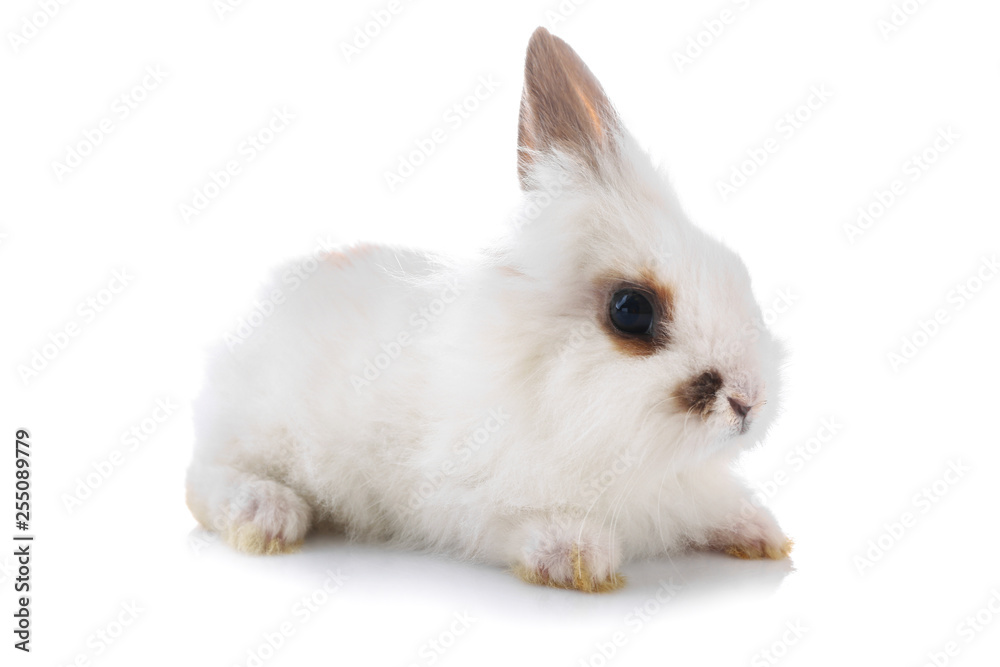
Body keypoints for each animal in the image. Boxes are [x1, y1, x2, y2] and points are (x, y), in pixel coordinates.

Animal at [188, 26, 792, 592]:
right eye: (630, 310)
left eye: (734, 267)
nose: (750, 401)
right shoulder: (461, 501)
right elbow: (514, 524)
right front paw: (578, 558)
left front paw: (761, 533)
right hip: (259, 433)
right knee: (201, 480)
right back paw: (267, 516)